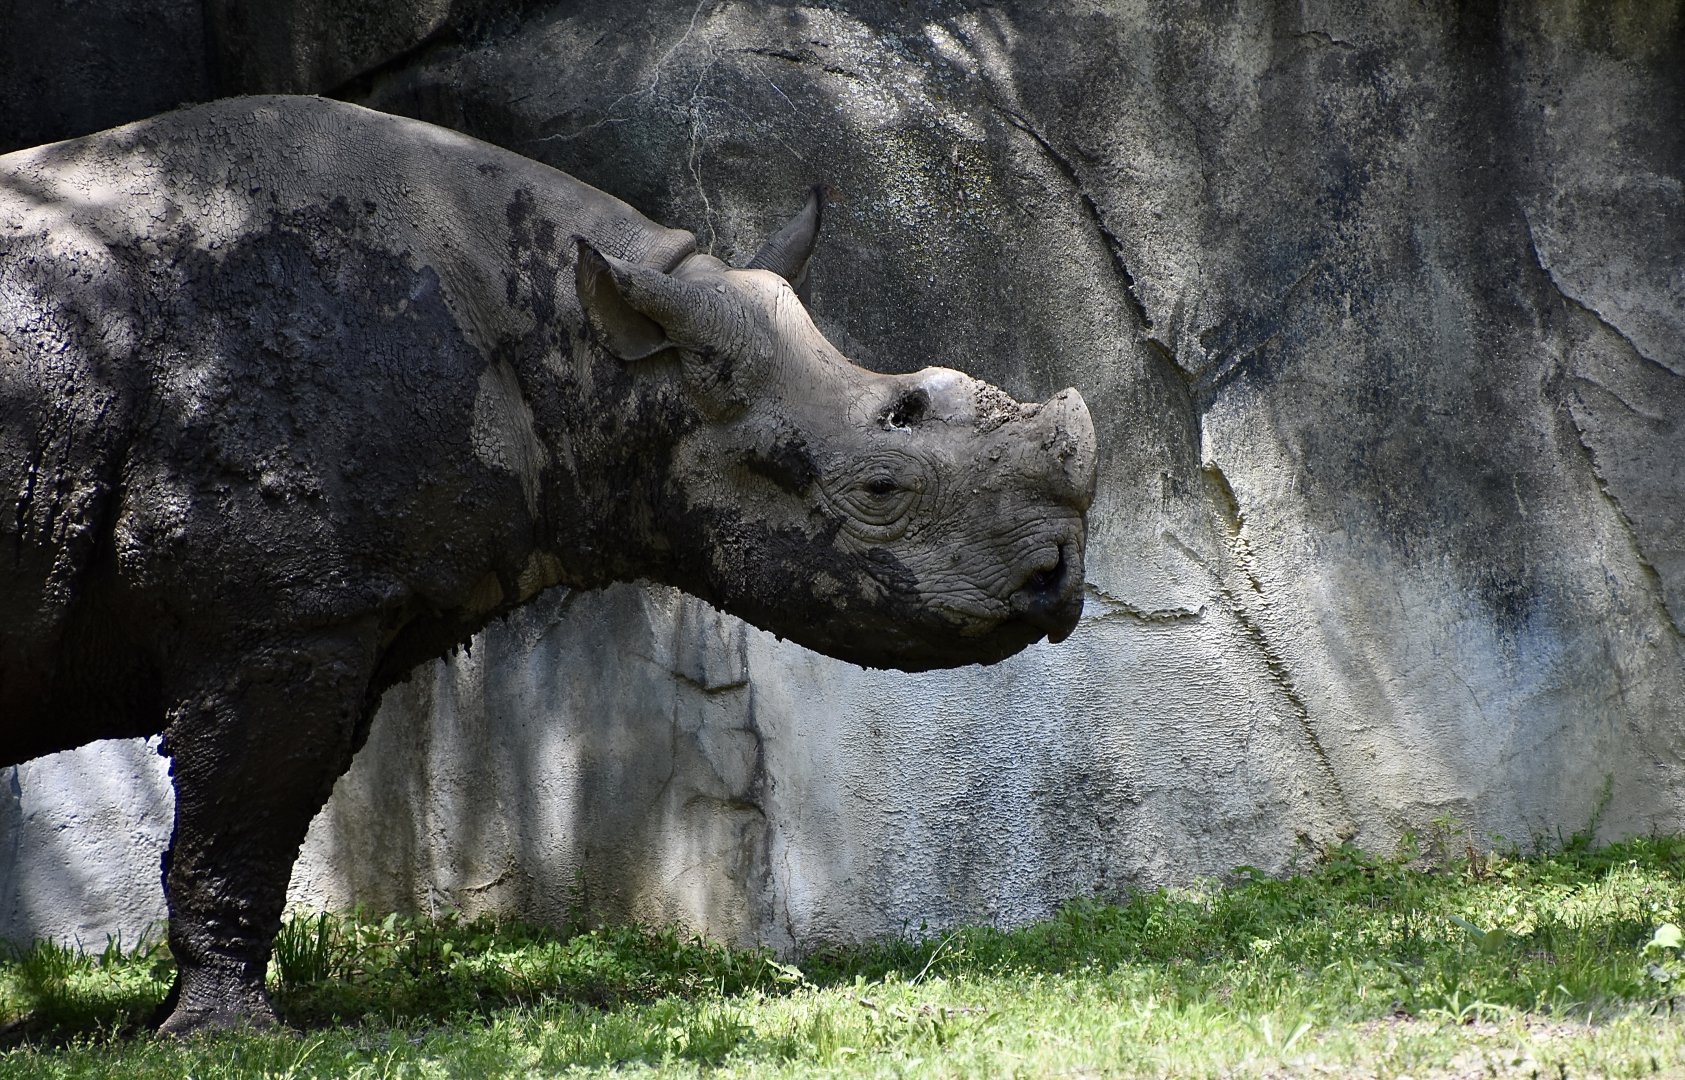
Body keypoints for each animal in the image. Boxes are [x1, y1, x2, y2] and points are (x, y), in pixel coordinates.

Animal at [0, 95, 1096, 1033]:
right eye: (877, 490)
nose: (1058, 580)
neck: (594, 356)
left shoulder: (336, 609)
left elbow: (251, 822)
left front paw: (191, 1019)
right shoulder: (282, 613)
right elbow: (240, 825)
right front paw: (223, 1036)